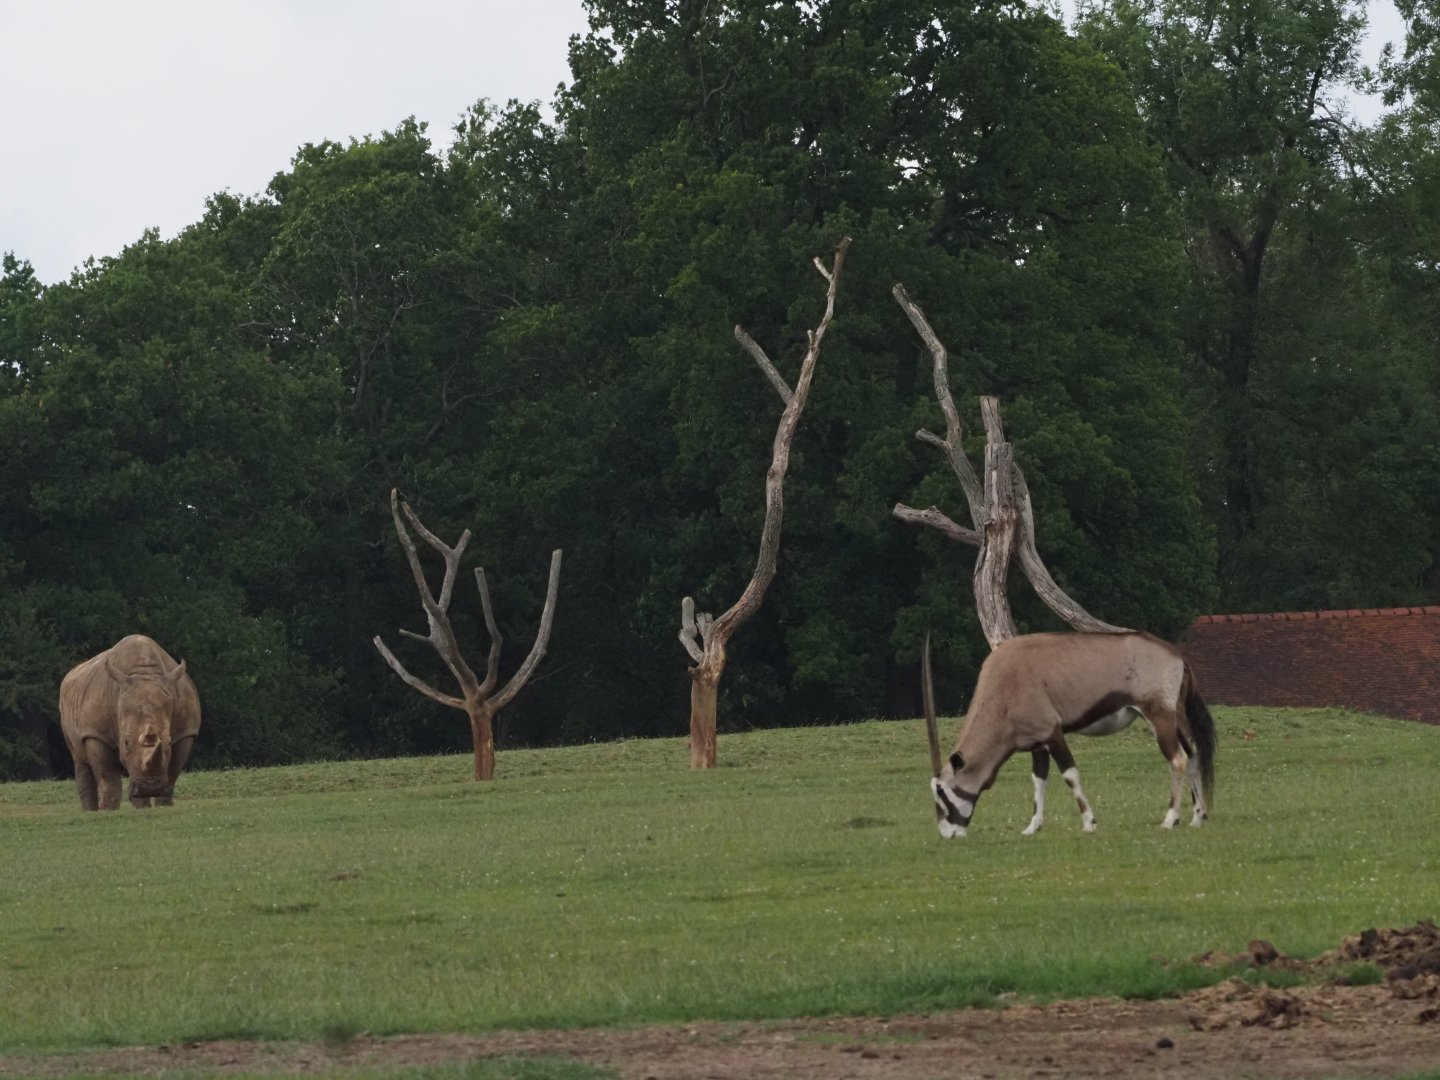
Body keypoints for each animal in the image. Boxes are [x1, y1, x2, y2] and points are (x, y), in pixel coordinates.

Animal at [59, 634, 202, 810]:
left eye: (168, 742)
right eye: (125, 743)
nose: (150, 788)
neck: (144, 672)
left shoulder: (186, 732)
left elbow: (172, 773)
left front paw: (164, 805)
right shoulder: (96, 734)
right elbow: (108, 778)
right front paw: (108, 810)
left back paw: (141, 806)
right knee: (79, 758)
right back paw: (89, 811)